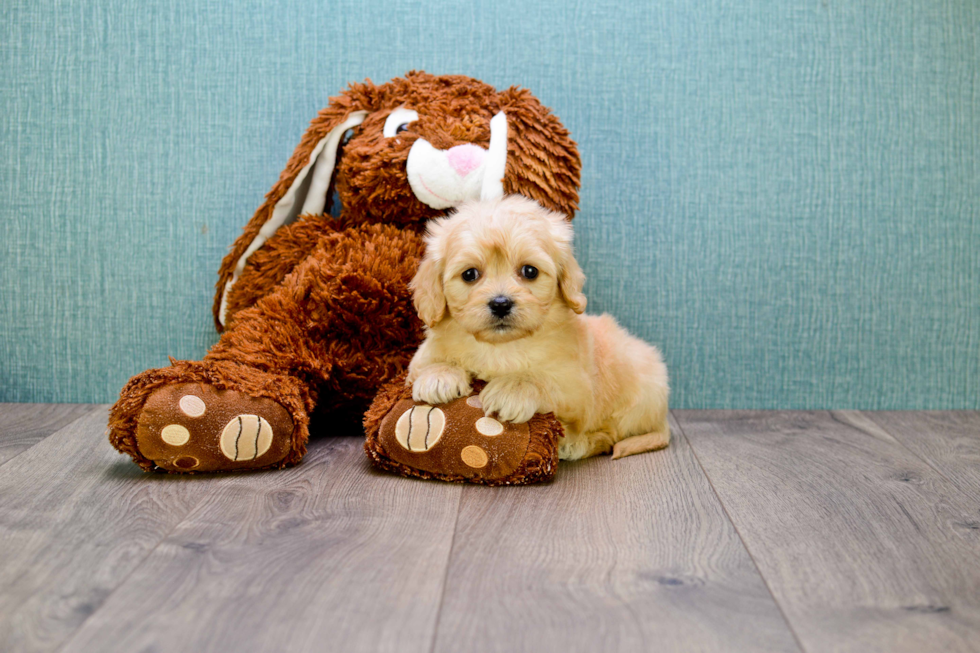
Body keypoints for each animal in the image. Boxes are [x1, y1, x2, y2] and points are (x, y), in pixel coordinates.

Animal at [402, 195, 668, 458]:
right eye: (469, 274)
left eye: (530, 271)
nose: (501, 303)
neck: (500, 348)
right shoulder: (421, 358)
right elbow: (430, 364)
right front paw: (438, 376)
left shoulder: (576, 386)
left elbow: (541, 379)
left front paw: (512, 389)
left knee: (610, 434)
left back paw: (574, 445)